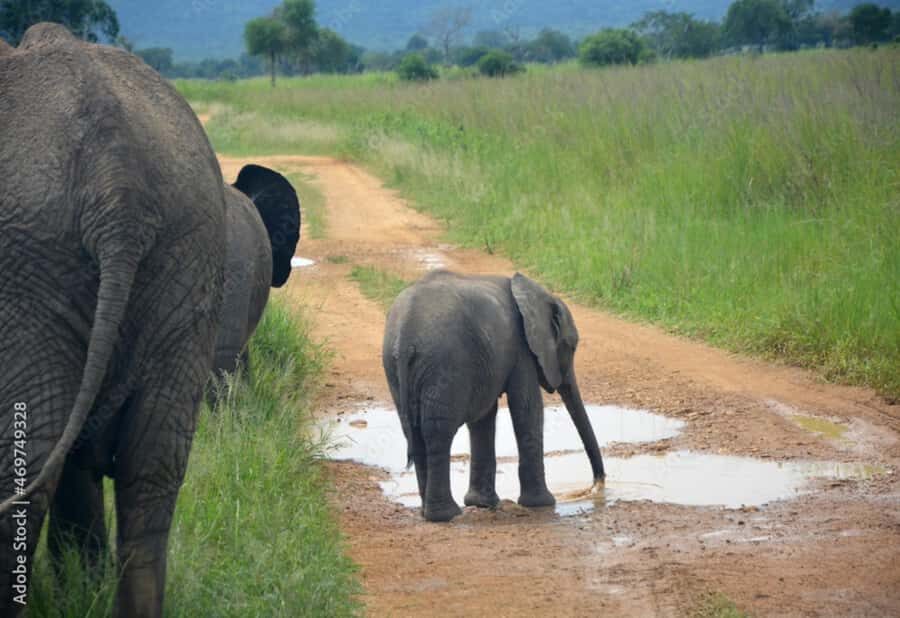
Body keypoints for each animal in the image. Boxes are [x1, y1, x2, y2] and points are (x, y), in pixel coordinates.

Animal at [382, 270, 606, 522]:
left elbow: (484, 419)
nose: (596, 485)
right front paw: (542, 504)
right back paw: (446, 515)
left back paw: (427, 512)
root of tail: (405, 337)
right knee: (437, 433)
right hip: (445, 364)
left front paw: (482, 504)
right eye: (572, 346)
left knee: (416, 432)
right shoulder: (522, 349)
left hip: (397, 369)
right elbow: (527, 408)